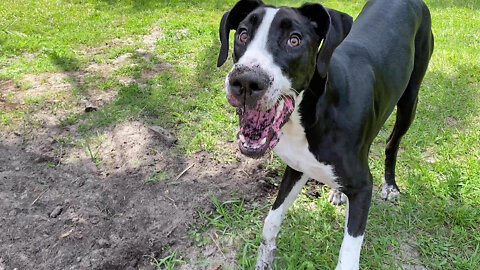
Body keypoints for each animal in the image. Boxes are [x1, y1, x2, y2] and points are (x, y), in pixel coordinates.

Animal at [218, 0, 436, 268]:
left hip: (410, 98)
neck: (314, 113)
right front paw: (264, 261)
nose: (246, 81)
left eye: (294, 40)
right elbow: (270, 222)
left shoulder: (363, 188)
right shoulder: (297, 167)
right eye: (243, 34)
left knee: (391, 142)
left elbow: (348, 258)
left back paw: (391, 185)